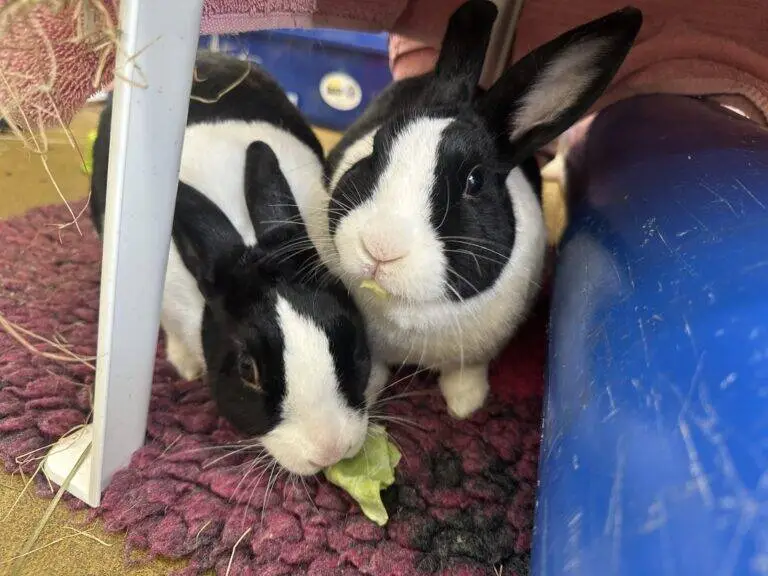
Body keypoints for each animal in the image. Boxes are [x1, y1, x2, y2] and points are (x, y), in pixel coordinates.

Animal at [298, 2, 643, 419]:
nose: (380, 247)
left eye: (475, 181)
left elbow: (466, 374)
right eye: (376, 150)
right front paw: (371, 393)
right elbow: (376, 367)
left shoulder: (477, 355)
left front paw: (465, 406)